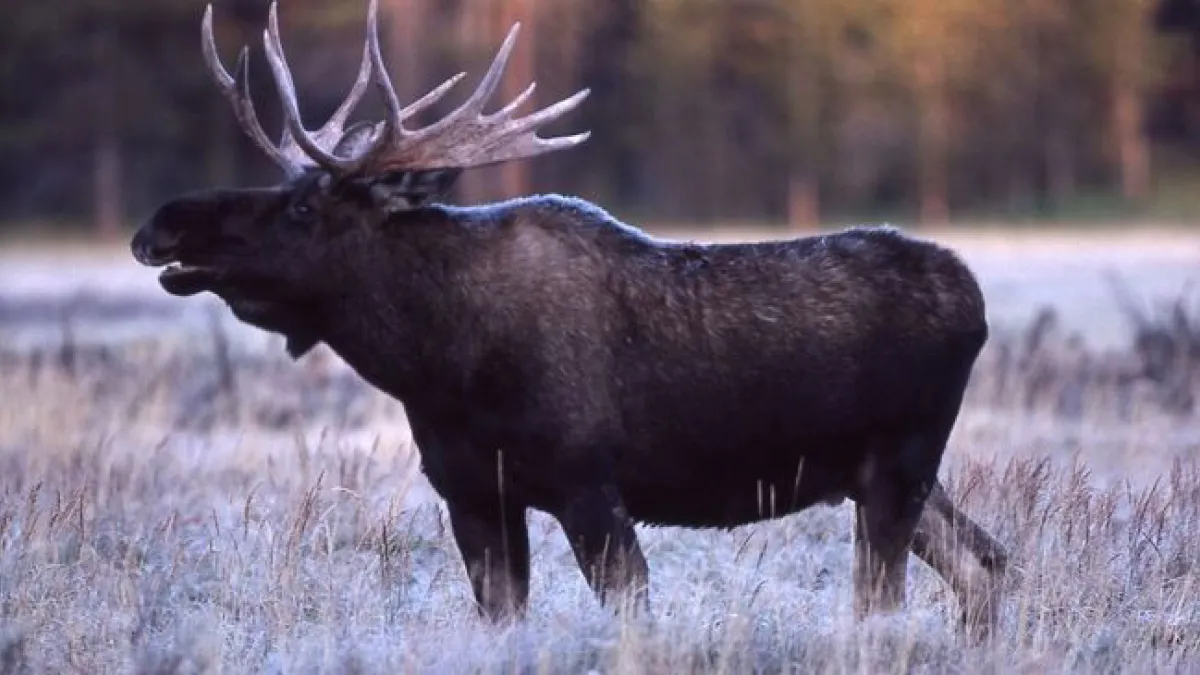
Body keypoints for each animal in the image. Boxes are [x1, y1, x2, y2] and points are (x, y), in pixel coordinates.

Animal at [131, 0, 1008, 634]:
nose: (162, 225)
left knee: (890, 599)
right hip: (880, 476)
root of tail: (975, 299)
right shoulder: (474, 495)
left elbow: (630, 612)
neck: (436, 362)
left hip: (898, 465)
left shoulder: (589, 484)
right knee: (987, 562)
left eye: (305, 206)